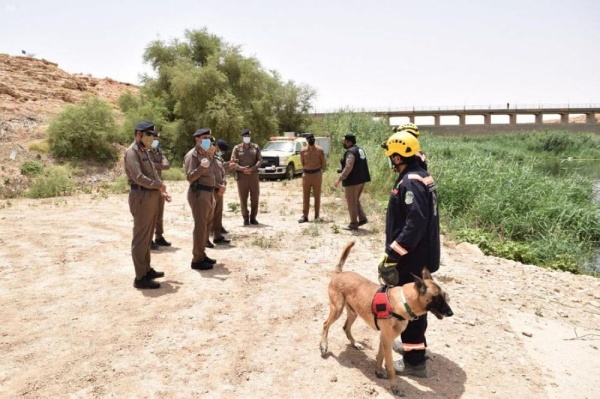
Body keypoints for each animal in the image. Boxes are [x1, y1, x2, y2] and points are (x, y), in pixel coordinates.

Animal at [322, 241, 452, 396]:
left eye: (444, 296)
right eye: (437, 298)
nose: (451, 313)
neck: (403, 302)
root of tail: (339, 273)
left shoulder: (385, 338)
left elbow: (380, 356)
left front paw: (378, 371)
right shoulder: (386, 339)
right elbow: (389, 365)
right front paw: (394, 386)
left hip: (353, 312)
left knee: (345, 327)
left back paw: (355, 343)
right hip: (337, 309)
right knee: (325, 324)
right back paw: (323, 346)